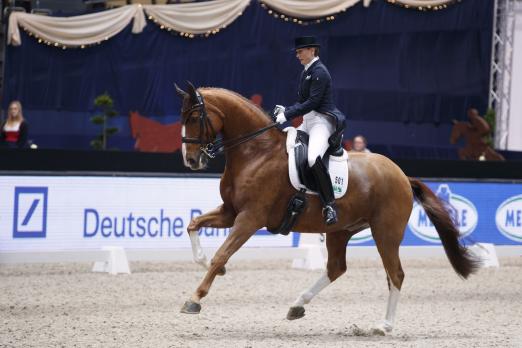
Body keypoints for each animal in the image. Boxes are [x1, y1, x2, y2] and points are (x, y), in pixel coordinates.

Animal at [175, 83, 476, 334]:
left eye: (194, 118)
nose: (190, 160)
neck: (256, 152)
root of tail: (403, 175)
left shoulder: (250, 218)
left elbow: (222, 254)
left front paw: (194, 299)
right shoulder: (230, 212)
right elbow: (194, 225)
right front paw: (207, 265)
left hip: (386, 233)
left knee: (395, 274)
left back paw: (383, 326)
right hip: (340, 231)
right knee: (336, 268)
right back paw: (298, 305)